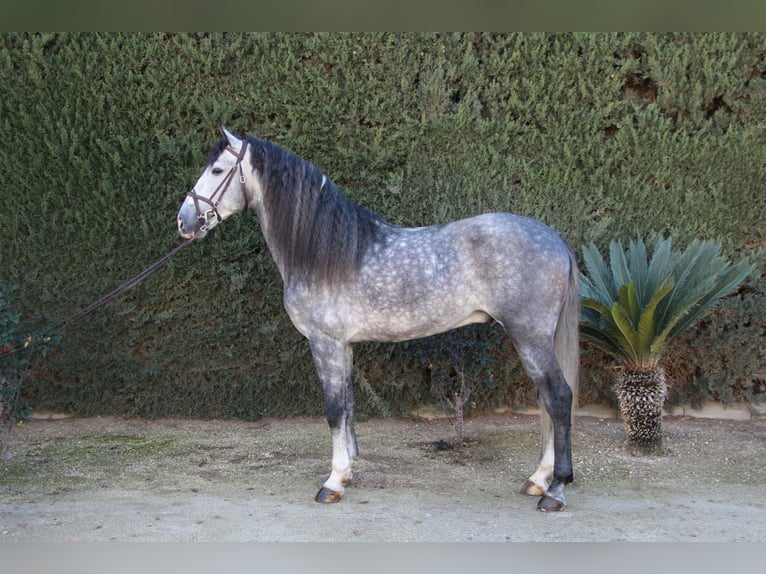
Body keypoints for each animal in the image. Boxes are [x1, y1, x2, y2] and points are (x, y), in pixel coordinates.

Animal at [177, 127, 580, 512]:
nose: (184, 221)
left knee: (558, 398)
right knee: (546, 400)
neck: (326, 254)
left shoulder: (325, 343)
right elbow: (348, 406)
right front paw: (348, 471)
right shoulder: (344, 345)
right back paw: (537, 480)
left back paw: (555, 490)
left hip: (530, 336)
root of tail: (555, 241)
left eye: (217, 170)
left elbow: (334, 409)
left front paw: (333, 482)